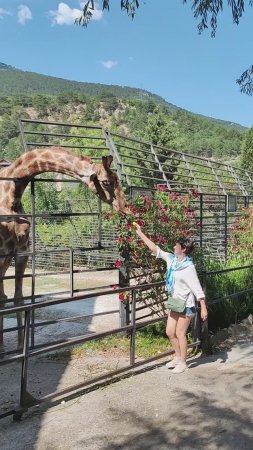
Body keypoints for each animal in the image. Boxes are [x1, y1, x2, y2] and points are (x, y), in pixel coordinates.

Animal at [0, 146, 128, 350]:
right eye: (107, 181)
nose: (125, 207)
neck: (11, 194)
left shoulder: (21, 251)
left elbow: (18, 299)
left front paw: (21, 345)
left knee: (3, 296)